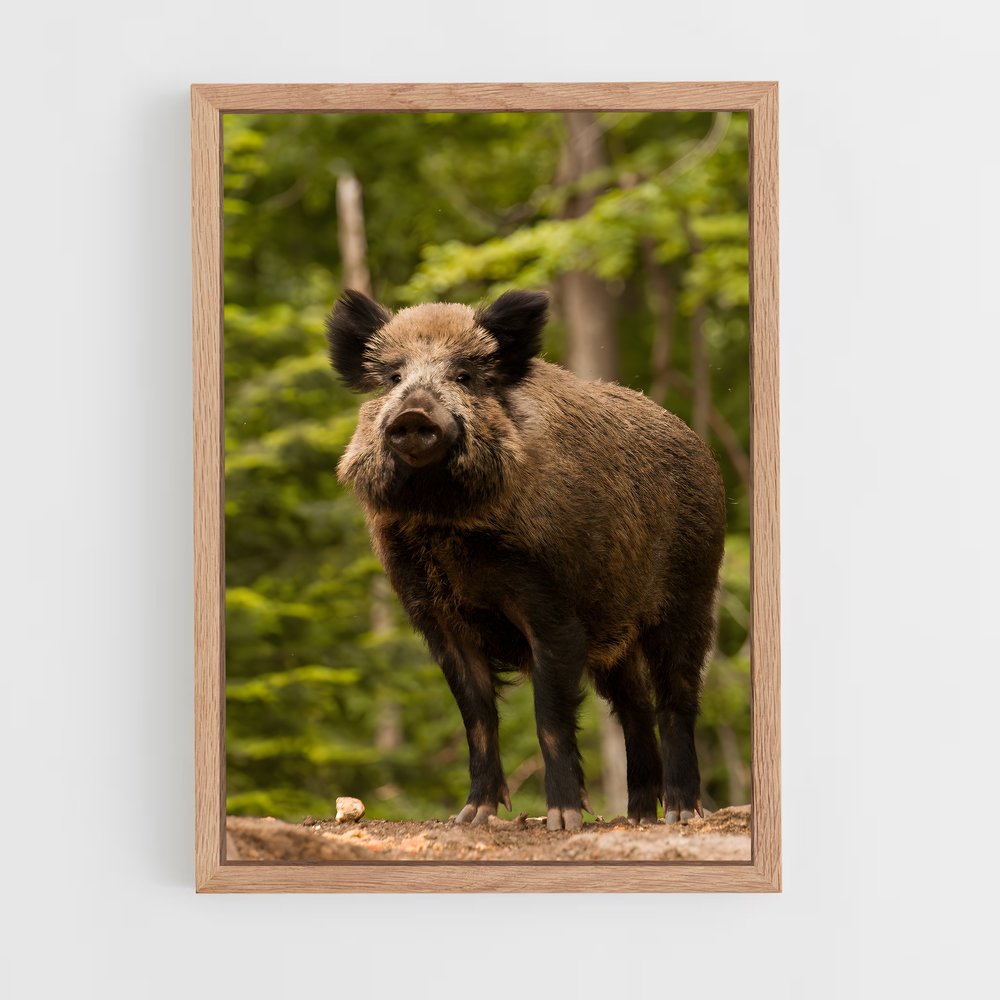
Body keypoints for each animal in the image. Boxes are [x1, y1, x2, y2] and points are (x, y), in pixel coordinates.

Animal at [327, 288, 726, 831]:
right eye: (393, 377)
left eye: (464, 375)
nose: (412, 413)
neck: (444, 520)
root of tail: (701, 449)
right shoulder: (436, 616)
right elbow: (476, 716)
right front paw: (470, 816)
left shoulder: (551, 606)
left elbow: (549, 716)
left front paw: (562, 820)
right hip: (615, 631)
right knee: (635, 708)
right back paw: (638, 816)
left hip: (690, 594)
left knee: (677, 699)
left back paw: (681, 814)